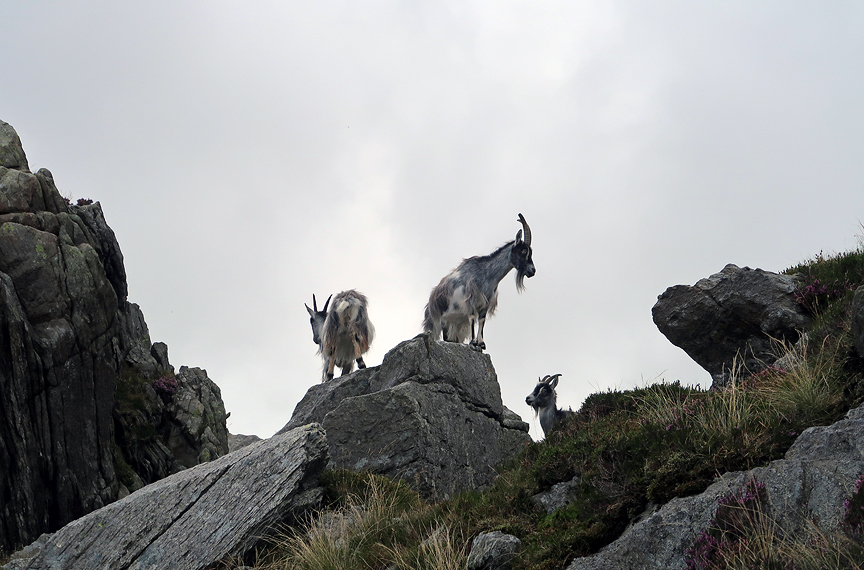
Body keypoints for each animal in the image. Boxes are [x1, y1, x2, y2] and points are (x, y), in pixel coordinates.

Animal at [422, 213, 535, 351]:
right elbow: (472, 319)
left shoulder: (485, 303)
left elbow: (481, 321)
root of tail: (430, 303)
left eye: (531, 252)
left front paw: (481, 344)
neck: (486, 275)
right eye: (523, 251)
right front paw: (473, 342)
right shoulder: (471, 300)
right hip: (440, 321)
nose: (532, 271)